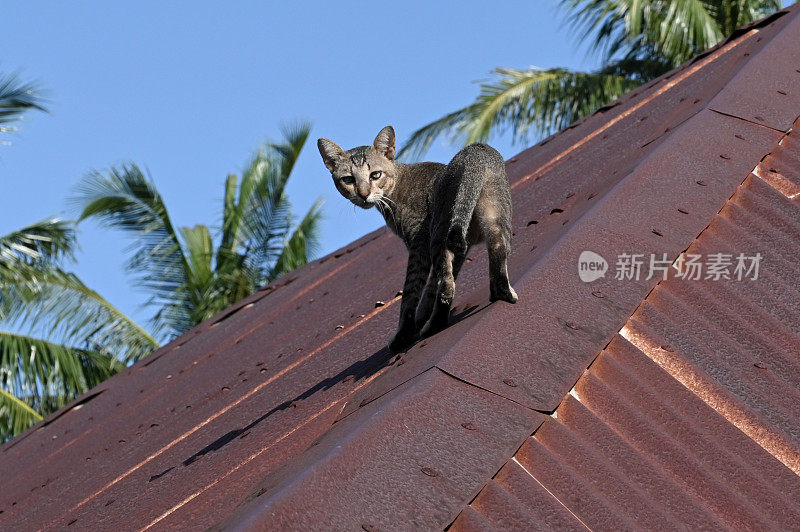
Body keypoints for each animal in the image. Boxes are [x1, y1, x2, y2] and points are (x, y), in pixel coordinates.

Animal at [316, 123, 516, 350]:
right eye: (348, 179)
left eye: (375, 175)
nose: (364, 195)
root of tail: (476, 153)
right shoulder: (461, 247)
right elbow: (431, 287)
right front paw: (422, 317)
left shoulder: (419, 246)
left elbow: (411, 293)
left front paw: (403, 334)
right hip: (495, 220)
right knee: (495, 253)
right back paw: (501, 293)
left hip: (440, 230)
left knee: (446, 284)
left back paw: (435, 323)